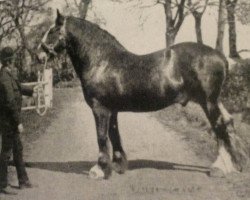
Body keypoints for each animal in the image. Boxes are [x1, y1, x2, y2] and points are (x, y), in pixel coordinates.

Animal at [39, 9, 248, 179]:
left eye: (52, 30)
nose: (39, 55)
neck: (102, 62)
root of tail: (221, 57)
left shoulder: (100, 109)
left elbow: (101, 137)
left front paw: (99, 170)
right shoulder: (112, 110)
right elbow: (114, 135)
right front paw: (118, 165)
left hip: (208, 102)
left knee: (219, 127)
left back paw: (220, 168)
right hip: (214, 101)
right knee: (228, 123)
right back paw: (236, 163)